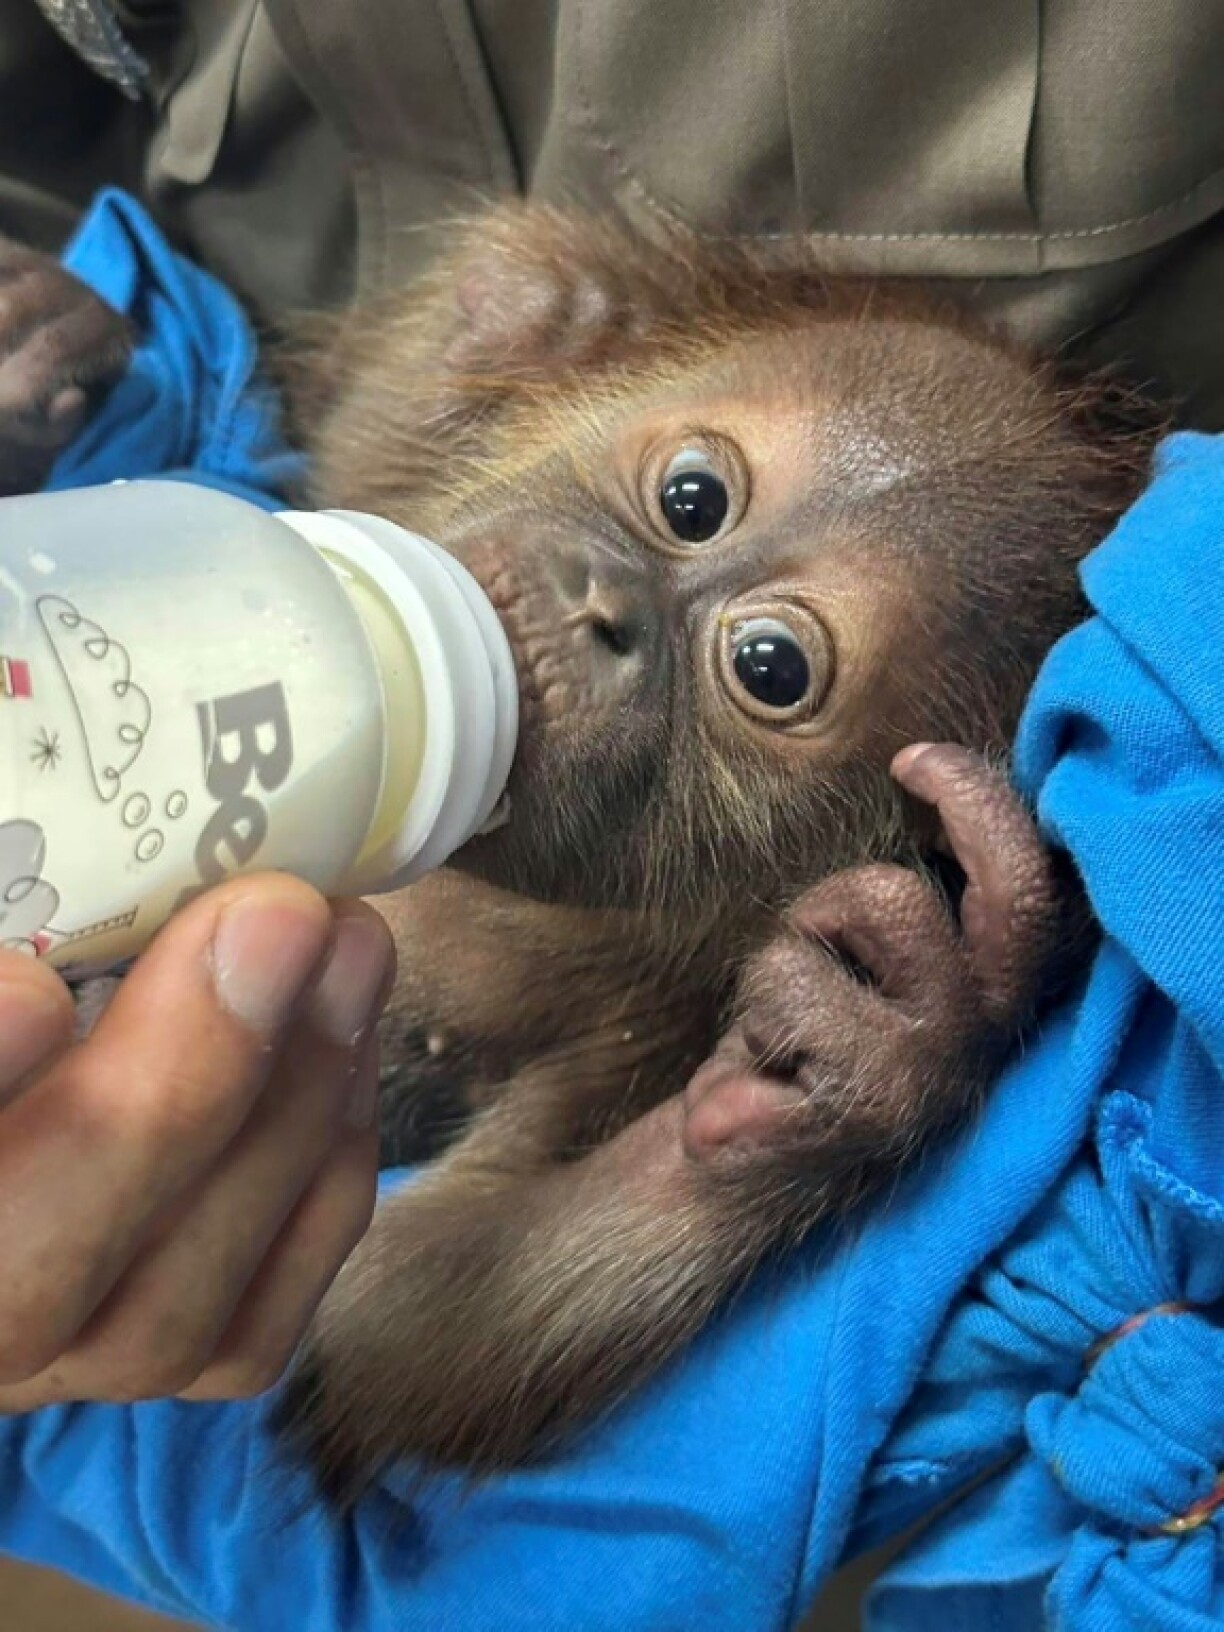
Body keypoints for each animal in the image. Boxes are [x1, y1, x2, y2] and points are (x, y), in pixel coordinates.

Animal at [0, 207, 1160, 1498]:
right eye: (693, 499)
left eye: (769, 668)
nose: (607, 607)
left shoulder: (650, 1030)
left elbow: (382, 1315)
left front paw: (883, 1046)